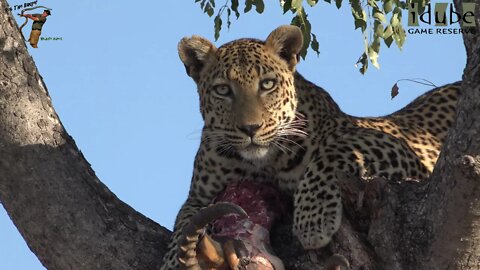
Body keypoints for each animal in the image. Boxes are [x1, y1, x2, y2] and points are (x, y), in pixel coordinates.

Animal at [160, 24, 458, 268]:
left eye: (267, 84)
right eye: (222, 90)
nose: (250, 128)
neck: (262, 164)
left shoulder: (395, 146)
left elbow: (331, 152)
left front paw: (313, 222)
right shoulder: (199, 196)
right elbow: (182, 224)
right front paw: (172, 262)